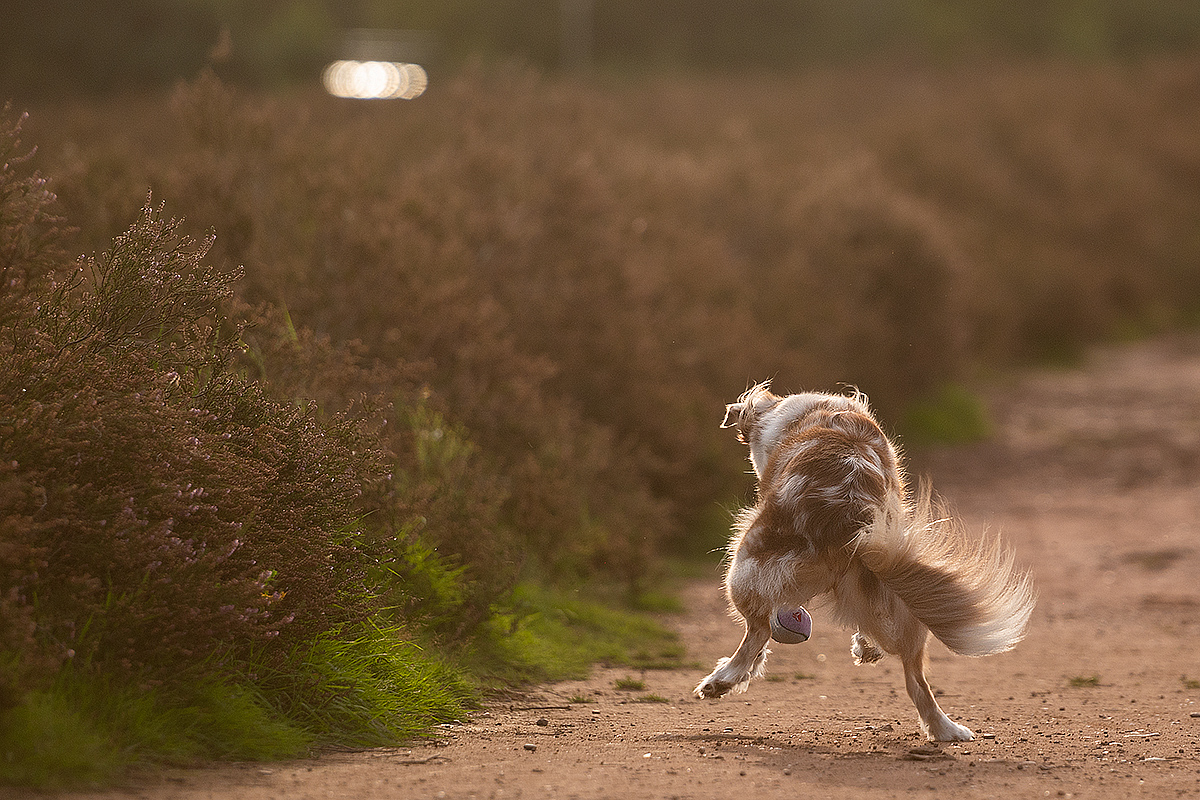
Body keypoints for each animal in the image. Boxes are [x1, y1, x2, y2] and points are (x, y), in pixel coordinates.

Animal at [700, 383, 1036, 743]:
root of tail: (849, 517)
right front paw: (866, 648)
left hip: (741, 570)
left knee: (757, 631)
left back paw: (721, 680)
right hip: (905, 600)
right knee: (916, 682)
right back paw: (945, 728)